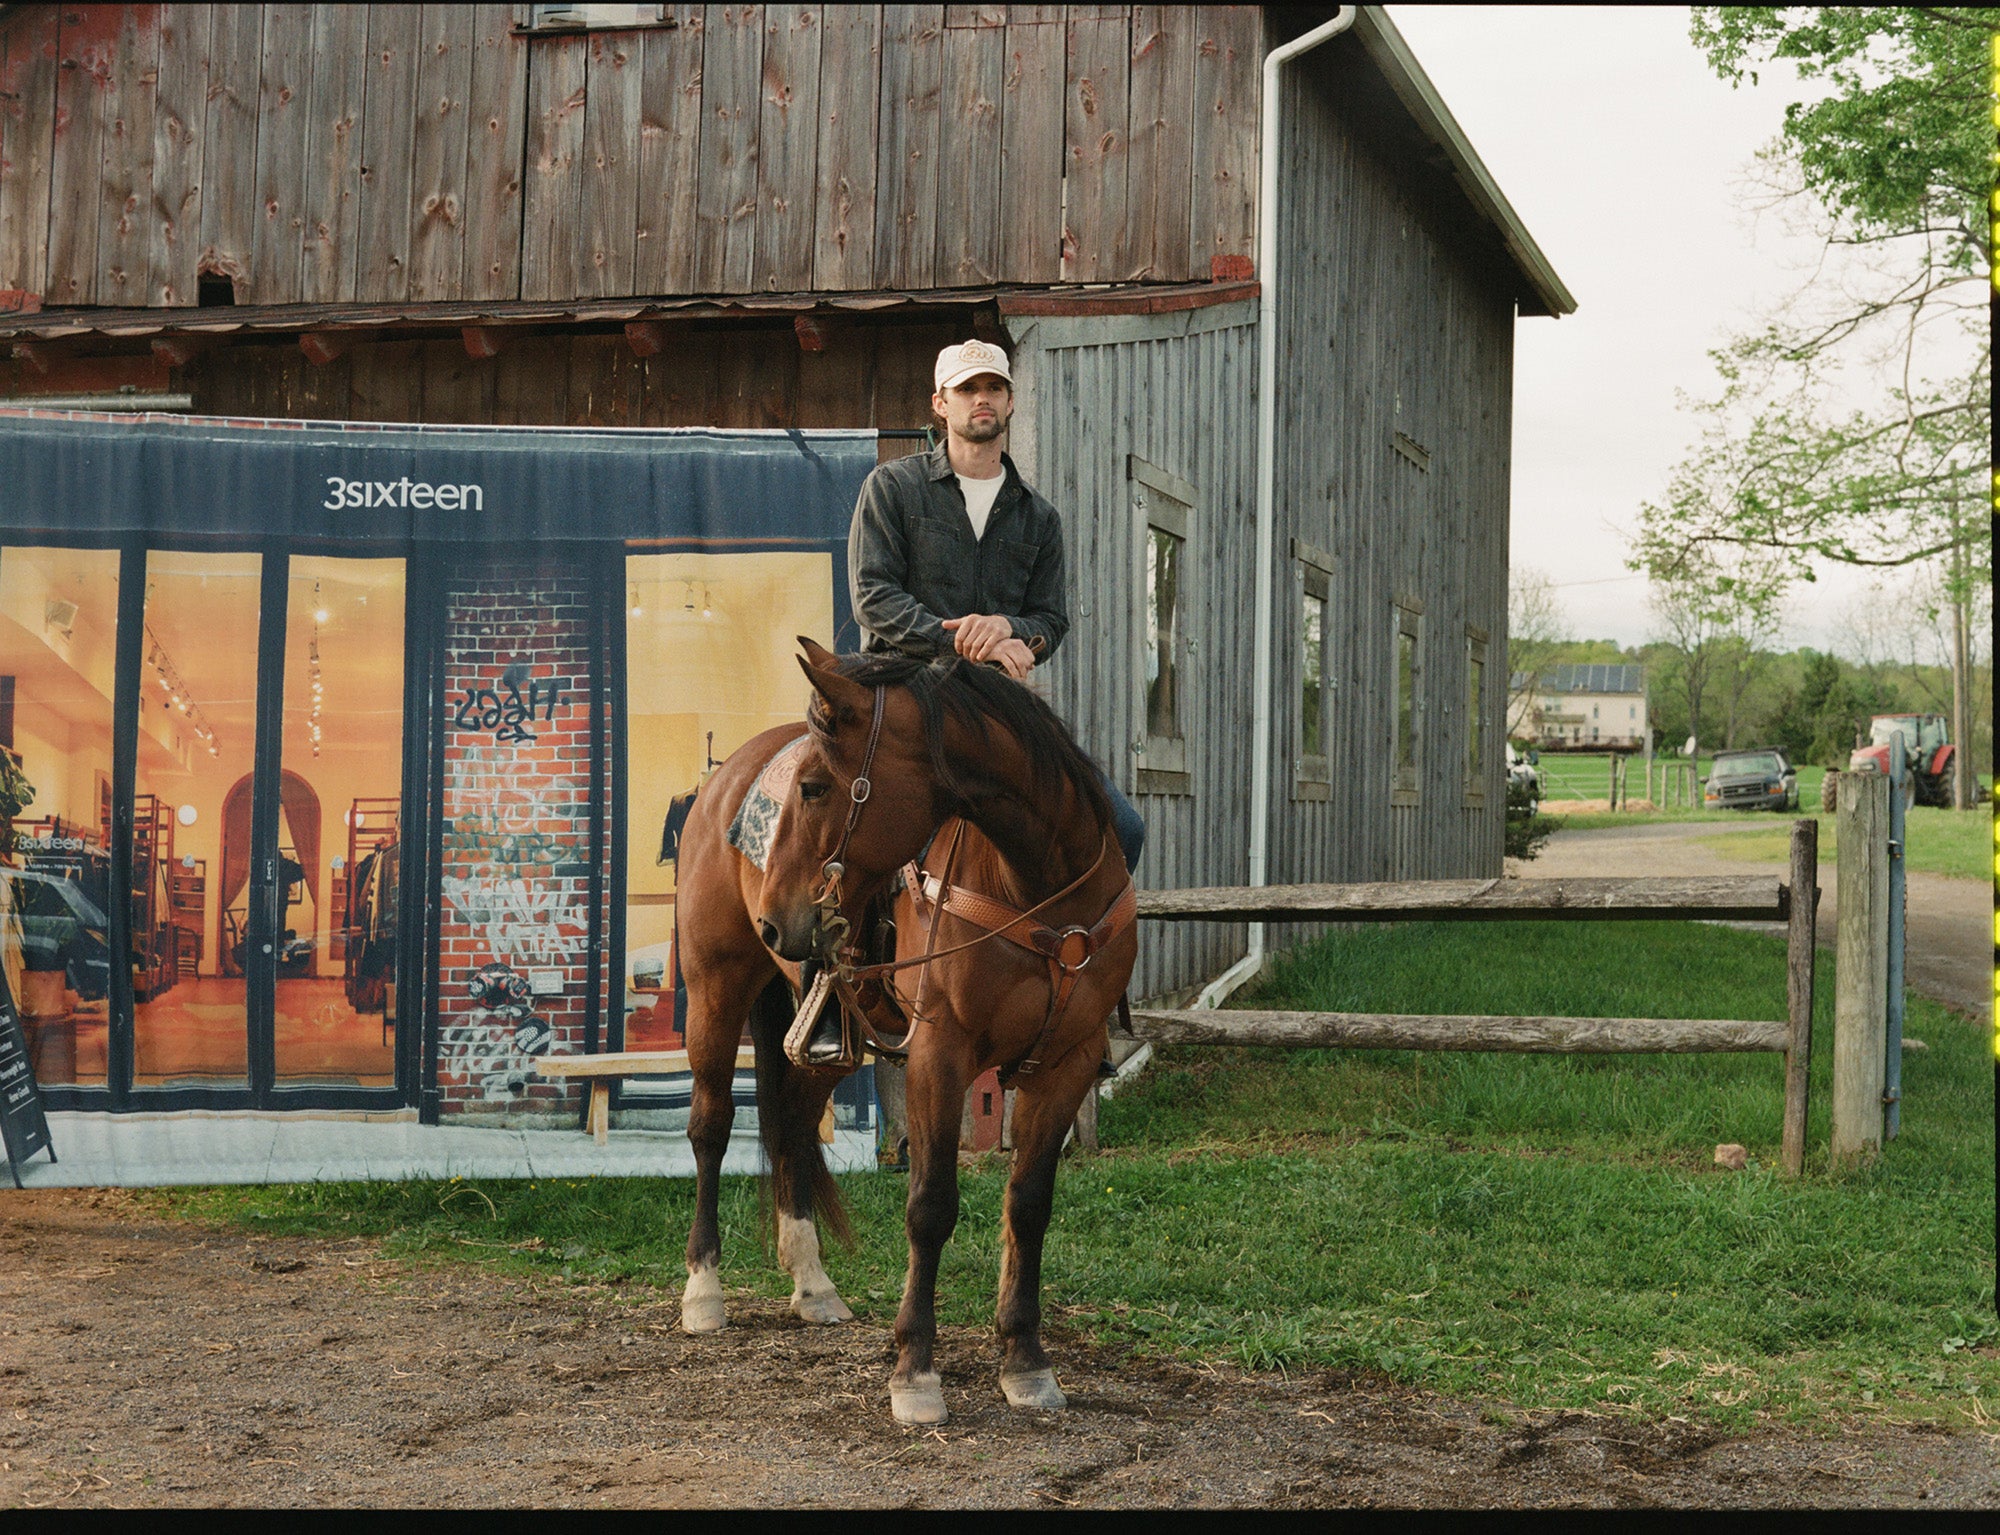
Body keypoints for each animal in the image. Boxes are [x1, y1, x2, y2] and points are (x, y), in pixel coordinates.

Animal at [676, 635, 1136, 1423]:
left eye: (816, 787)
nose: (775, 920)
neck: (1037, 885)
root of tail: (724, 780)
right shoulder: (939, 1057)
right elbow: (930, 1207)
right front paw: (915, 1372)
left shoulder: (1067, 1061)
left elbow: (1029, 1204)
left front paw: (1026, 1360)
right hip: (715, 986)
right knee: (710, 1124)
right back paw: (704, 1290)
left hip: (821, 1035)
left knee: (790, 1124)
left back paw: (813, 1284)